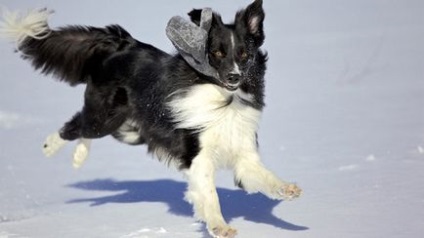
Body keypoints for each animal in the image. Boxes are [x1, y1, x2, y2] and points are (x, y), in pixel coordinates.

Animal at [0, 0, 302, 237]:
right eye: (217, 53)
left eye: (244, 53)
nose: (234, 77)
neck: (224, 100)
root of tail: (121, 43)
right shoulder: (197, 155)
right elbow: (211, 194)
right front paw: (219, 227)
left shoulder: (243, 154)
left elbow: (265, 177)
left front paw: (289, 192)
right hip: (107, 116)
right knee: (77, 125)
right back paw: (50, 147)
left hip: (130, 128)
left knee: (86, 129)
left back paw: (78, 157)